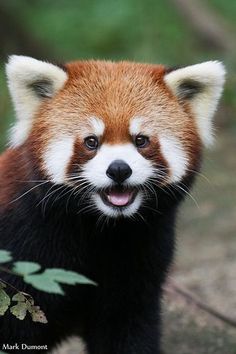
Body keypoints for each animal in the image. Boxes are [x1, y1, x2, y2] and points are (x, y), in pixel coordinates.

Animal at [0, 56, 225, 352]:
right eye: (91, 141)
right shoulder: (22, 245)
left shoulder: (140, 260)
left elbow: (127, 329)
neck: (103, 228)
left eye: (141, 140)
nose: (119, 169)